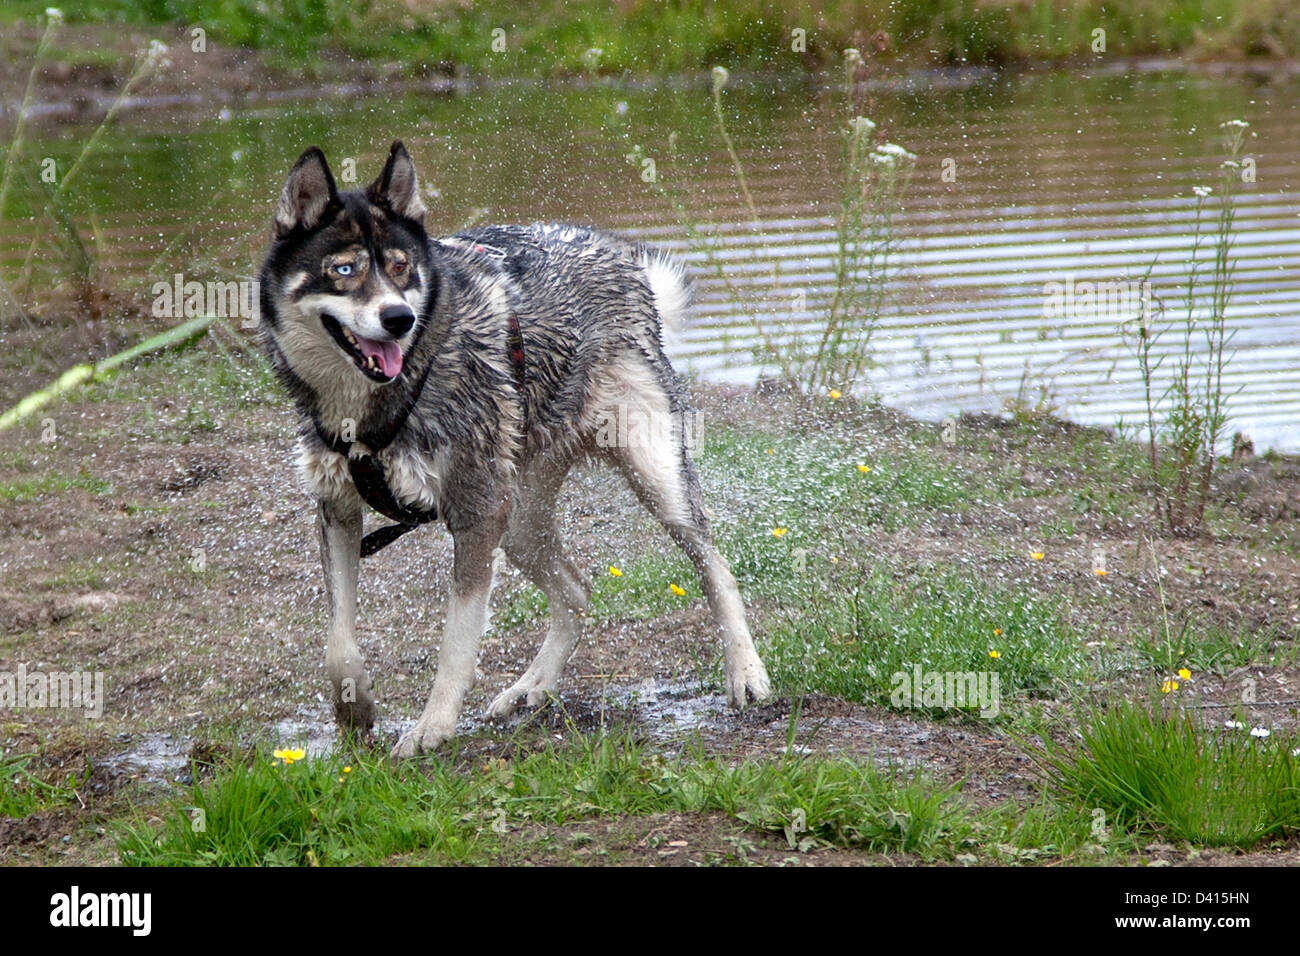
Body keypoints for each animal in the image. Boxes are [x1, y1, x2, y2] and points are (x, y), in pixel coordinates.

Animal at [256, 141, 769, 754]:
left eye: (401, 267)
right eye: (344, 270)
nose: (399, 318)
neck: (377, 407)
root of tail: (622, 259)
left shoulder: (476, 514)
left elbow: (457, 640)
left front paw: (433, 727)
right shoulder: (337, 508)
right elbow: (337, 640)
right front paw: (354, 708)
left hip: (652, 481)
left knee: (715, 566)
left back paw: (746, 672)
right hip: (521, 519)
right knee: (577, 590)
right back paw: (533, 686)